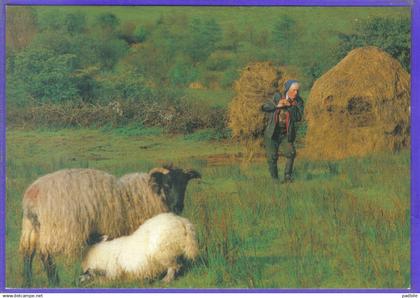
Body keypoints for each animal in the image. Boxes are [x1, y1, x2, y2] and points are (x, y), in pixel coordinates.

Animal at [17, 165, 199, 286]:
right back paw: (54, 282)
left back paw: (28, 281)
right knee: (45, 255)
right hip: (56, 229)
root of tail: (31, 197)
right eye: (167, 185)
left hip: (31, 229)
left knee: (27, 254)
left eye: (184, 184)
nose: (178, 207)